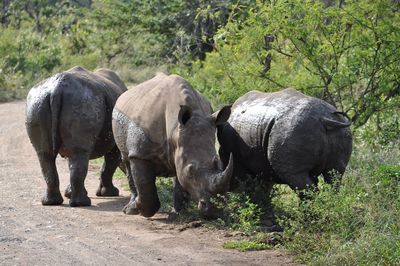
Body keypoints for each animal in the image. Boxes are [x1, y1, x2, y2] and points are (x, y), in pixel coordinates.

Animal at [25, 65, 126, 207]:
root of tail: (56, 88)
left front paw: (69, 193)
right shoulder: (116, 143)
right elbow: (110, 165)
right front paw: (110, 193)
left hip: (38, 103)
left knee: (46, 153)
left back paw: (51, 202)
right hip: (84, 101)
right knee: (78, 153)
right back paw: (82, 203)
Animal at [111, 73, 231, 218]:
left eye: (219, 164)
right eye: (191, 170)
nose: (215, 210)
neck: (175, 132)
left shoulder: (182, 146)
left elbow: (180, 179)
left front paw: (180, 213)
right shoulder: (140, 154)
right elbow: (144, 183)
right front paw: (143, 208)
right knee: (126, 159)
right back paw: (130, 210)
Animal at [217, 89, 352, 197]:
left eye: (220, 153)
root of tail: (324, 119)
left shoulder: (237, 160)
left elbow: (243, 184)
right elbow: (264, 187)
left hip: (293, 129)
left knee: (296, 178)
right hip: (340, 132)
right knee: (334, 176)